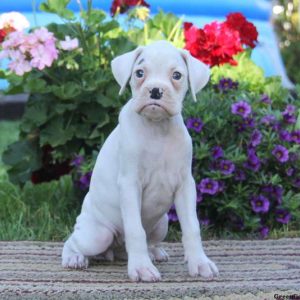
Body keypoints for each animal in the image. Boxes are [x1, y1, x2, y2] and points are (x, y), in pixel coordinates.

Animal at [62, 39, 218, 282]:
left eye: (177, 75)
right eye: (140, 73)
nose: (155, 90)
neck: (157, 128)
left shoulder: (185, 185)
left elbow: (192, 227)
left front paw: (200, 263)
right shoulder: (129, 184)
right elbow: (135, 229)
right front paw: (142, 268)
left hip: (162, 223)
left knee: (149, 239)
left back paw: (155, 252)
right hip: (98, 234)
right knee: (72, 241)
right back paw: (74, 257)